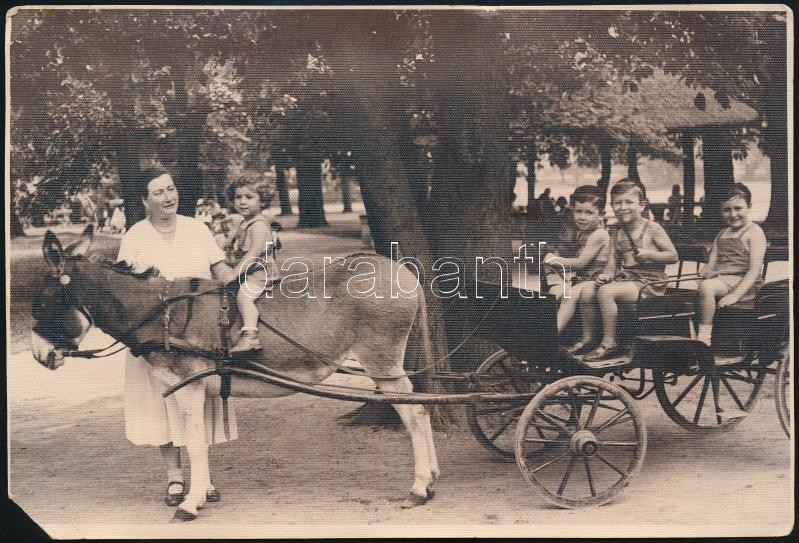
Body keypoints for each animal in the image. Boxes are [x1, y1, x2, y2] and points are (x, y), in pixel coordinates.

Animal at [29, 226, 440, 521]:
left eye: (44, 302)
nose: (39, 355)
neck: (160, 313)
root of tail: (401, 270)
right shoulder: (191, 388)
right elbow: (195, 442)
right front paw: (201, 494)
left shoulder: (188, 387)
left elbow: (195, 442)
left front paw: (190, 505)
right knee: (422, 406)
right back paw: (432, 480)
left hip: (381, 363)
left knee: (414, 413)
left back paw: (419, 488)